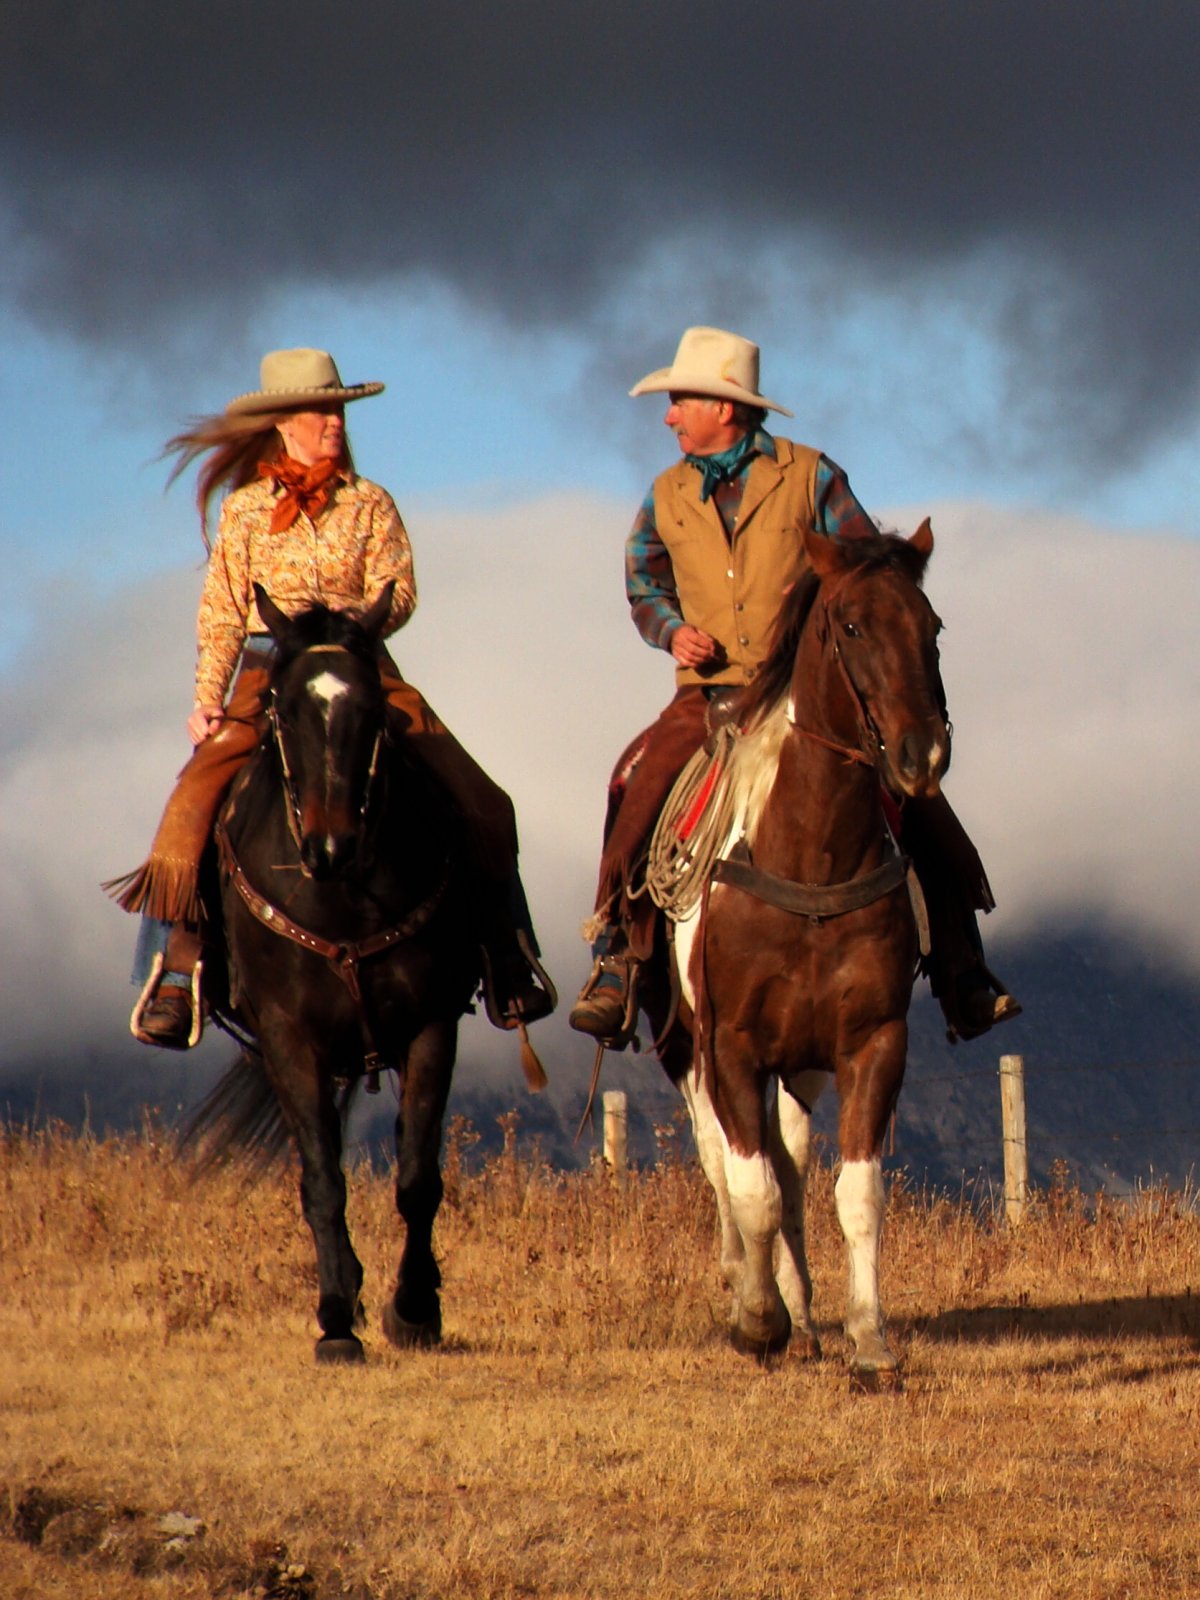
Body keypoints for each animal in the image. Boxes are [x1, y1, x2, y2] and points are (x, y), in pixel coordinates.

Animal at [188, 588, 480, 1363]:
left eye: (373, 709)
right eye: (282, 710)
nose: (329, 846)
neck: (343, 897)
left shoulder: (431, 1025)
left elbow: (417, 1179)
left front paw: (414, 1309)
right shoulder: (290, 1039)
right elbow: (322, 1180)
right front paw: (336, 1319)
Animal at [649, 521, 947, 1376]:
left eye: (933, 627)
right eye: (851, 625)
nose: (922, 755)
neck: (811, 859)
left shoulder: (872, 1042)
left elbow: (856, 1193)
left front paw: (868, 1338)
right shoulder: (732, 1049)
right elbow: (751, 1189)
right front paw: (756, 1318)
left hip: (801, 1064)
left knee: (790, 1160)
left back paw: (805, 1310)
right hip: (690, 1051)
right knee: (727, 1165)